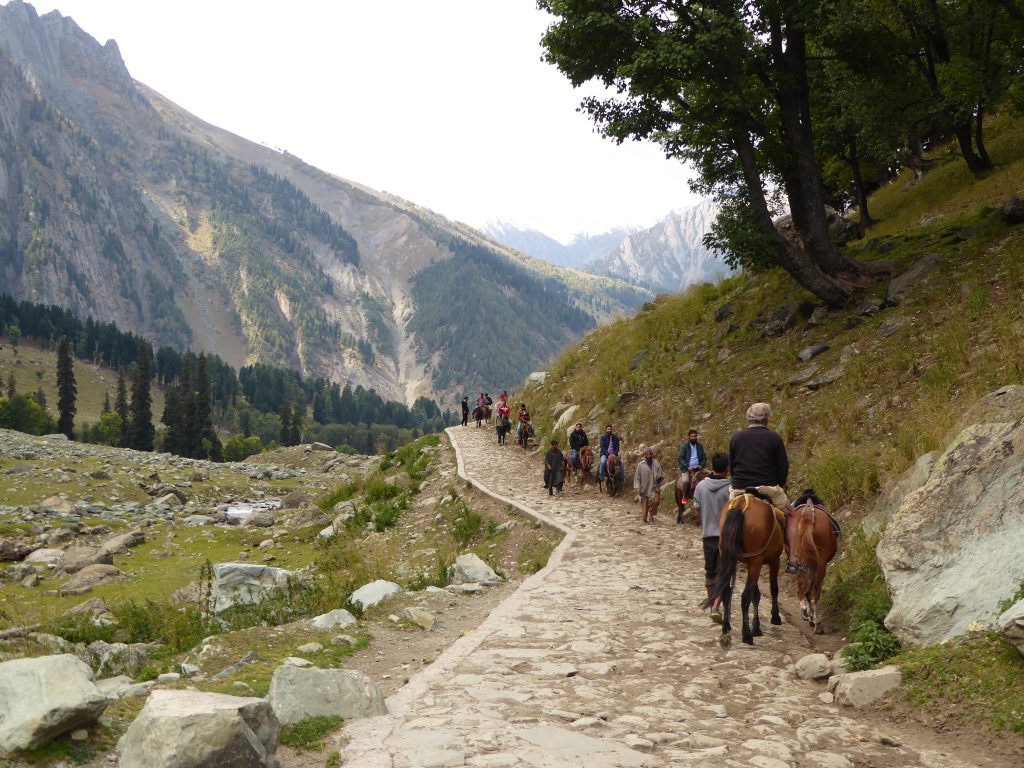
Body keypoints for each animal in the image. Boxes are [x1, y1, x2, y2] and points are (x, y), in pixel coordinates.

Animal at [704, 493, 782, 651]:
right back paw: (746, 635)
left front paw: (756, 626)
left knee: (726, 591)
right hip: (755, 560)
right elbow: (773, 588)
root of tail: (740, 505)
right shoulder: (772, 560)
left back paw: (726, 629)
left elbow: (756, 594)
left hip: (727, 556)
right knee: (745, 596)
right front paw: (774, 617)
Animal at [790, 489, 839, 634]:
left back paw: (809, 616)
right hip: (819, 563)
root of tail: (808, 515)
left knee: (805, 588)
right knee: (814, 591)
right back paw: (816, 622)